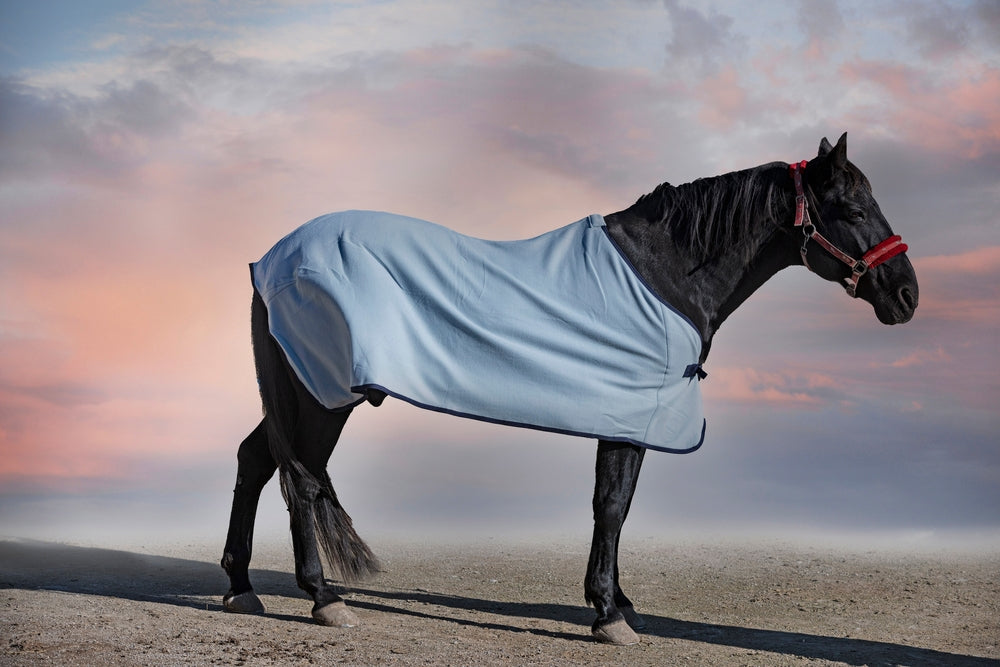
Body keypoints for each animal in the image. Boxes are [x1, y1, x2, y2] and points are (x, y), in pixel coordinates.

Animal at [220, 133, 918, 645]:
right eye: (853, 210)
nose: (907, 295)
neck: (664, 274)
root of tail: (271, 259)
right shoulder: (631, 417)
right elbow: (612, 507)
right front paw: (609, 615)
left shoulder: (629, 417)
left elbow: (616, 508)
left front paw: (619, 603)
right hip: (322, 395)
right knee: (301, 479)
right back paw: (323, 598)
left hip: (303, 392)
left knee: (258, 459)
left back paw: (241, 586)